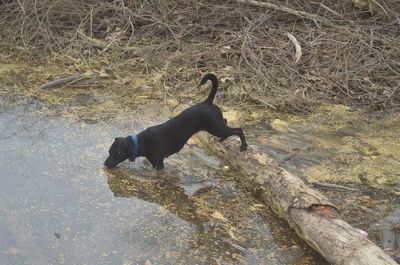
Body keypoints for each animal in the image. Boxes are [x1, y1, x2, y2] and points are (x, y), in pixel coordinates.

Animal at [103, 73, 247, 169]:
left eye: (116, 154)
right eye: (109, 152)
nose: (104, 164)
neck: (140, 142)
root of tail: (207, 102)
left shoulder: (158, 163)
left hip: (215, 127)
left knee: (238, 130)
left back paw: (243, 147)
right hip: (217, 125)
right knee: (226, 121)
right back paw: (223, 139)